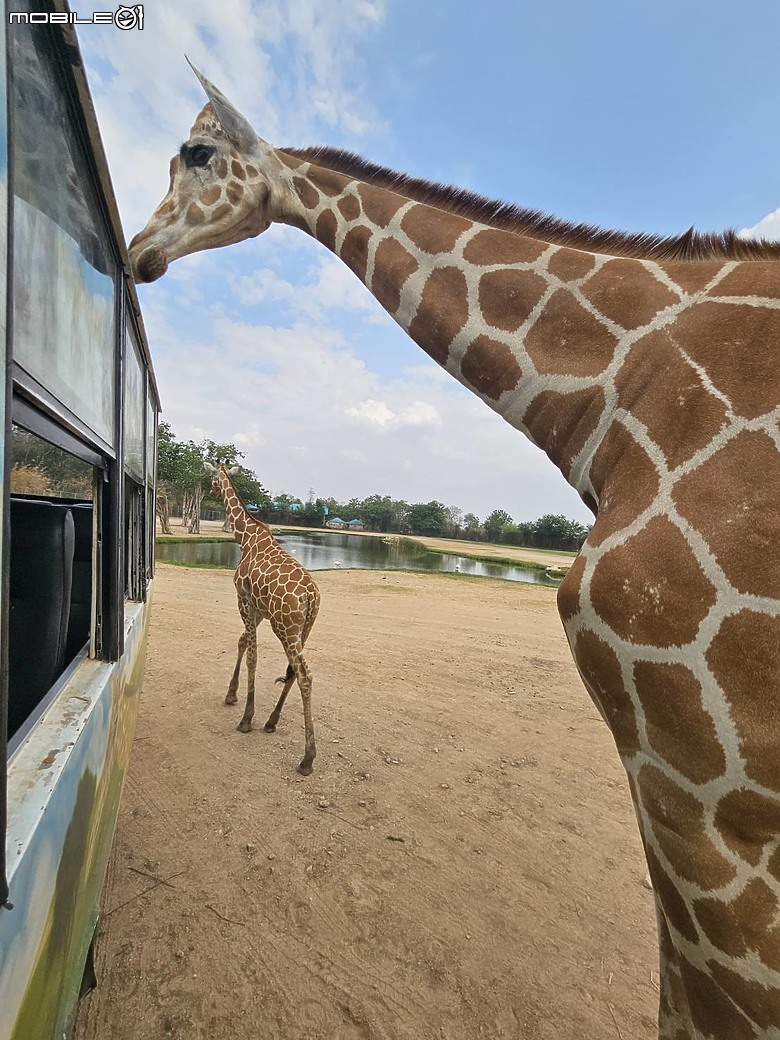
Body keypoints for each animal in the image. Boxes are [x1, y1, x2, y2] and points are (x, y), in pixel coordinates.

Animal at [204, 461, 324, 773]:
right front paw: (231, 695)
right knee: (294, 671)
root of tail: (311, 597)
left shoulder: (244, 600)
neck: (245, 538)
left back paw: (307, 758)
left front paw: (246, 718)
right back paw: (271, 721)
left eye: (212, 477)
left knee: (304, 674)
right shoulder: (258, 609)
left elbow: (252, 656)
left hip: (285, 628)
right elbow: (242, 642)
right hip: (302, 629)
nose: (211, 489)